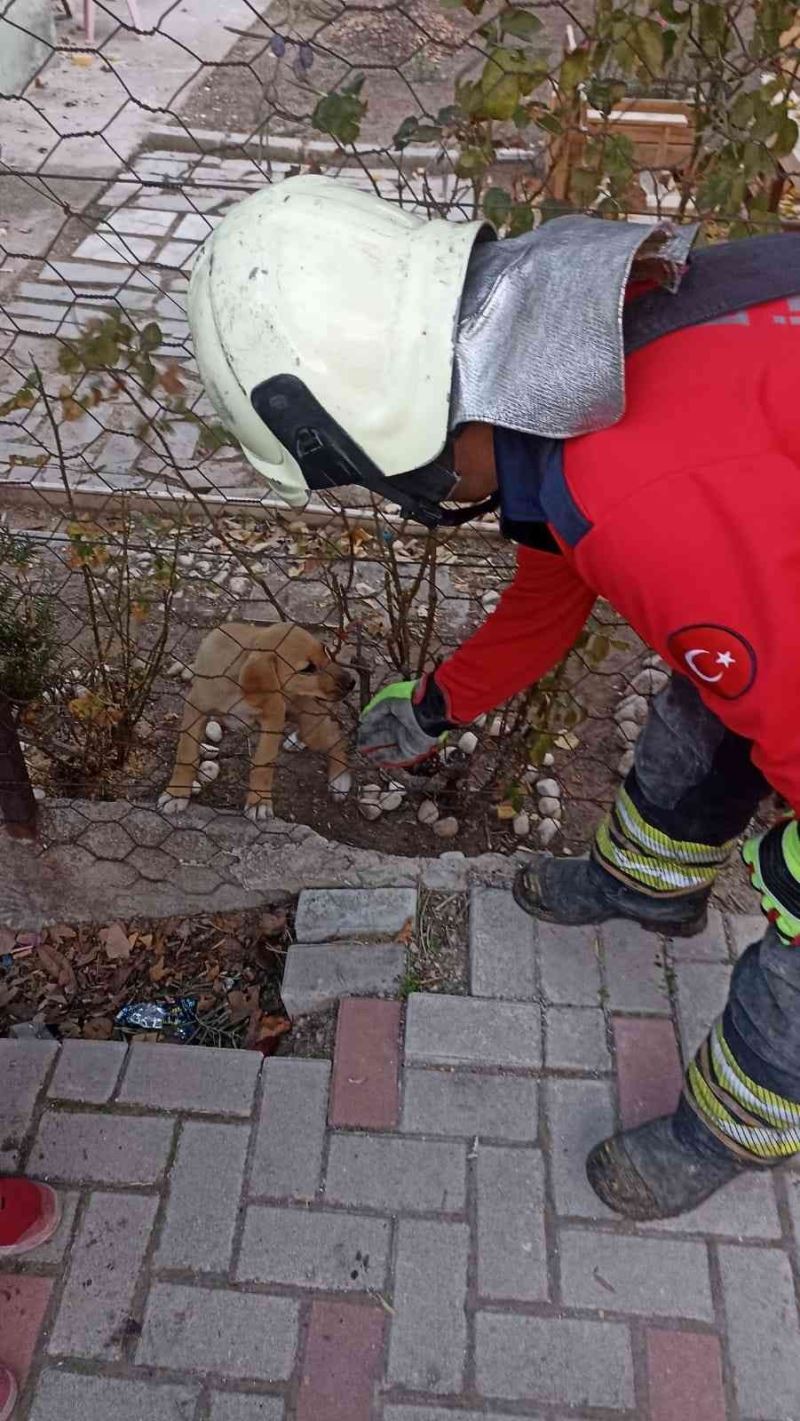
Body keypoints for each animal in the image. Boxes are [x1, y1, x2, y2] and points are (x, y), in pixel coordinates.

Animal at [159, 622, 353, 824]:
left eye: (325, 651)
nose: (352, 682)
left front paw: (259, 801)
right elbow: (186, 753)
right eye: (307, 669)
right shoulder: (195, 708)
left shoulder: (274, 715)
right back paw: (298, 742)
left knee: (337, 738)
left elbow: (263, 762)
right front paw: (176, 794)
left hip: (311, 725)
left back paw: (339, 779)